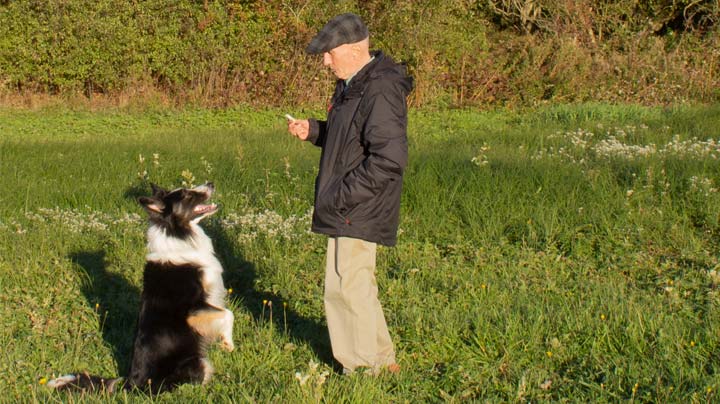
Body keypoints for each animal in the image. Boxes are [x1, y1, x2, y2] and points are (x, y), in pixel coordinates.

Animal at [48, 181, 233, 392]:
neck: (178, 234)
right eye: (187, 195)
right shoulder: (194, 309)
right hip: (196, 363)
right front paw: (228, 343)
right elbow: (228, 314)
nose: (211, 183)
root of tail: (130, 383)